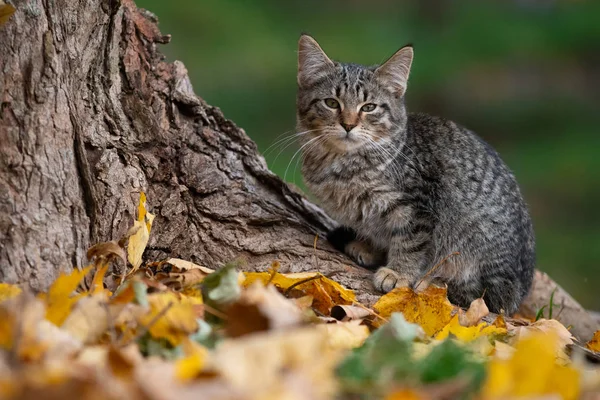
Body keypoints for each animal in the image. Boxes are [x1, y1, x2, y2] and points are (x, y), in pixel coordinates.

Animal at [296, 34, 536, 314]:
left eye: (369, 107)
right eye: (332, 103)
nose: (348, 125)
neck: (343, 163)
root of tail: (520, 289)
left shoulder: (418, 206)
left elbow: (411, 241)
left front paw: (399, 273)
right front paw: (368, 246)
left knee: (480, 295)